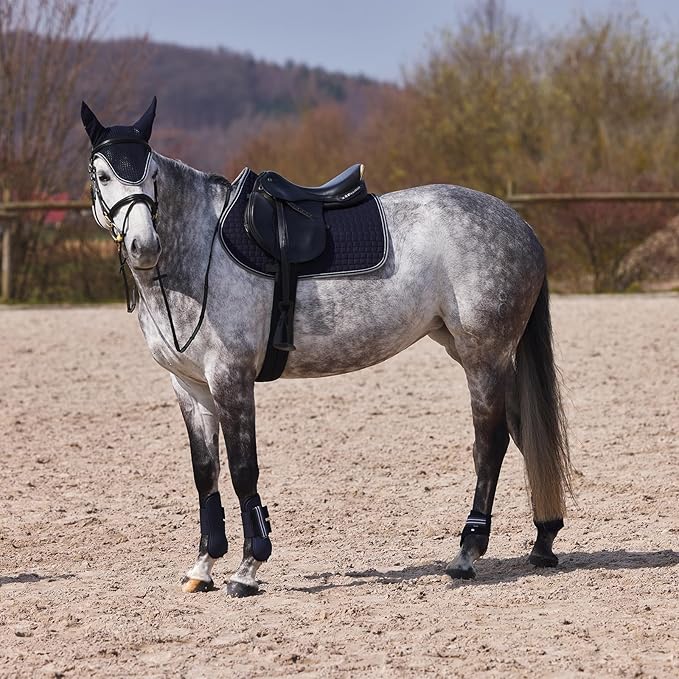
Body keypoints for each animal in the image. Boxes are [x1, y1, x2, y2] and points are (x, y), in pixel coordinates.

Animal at [81, 98, 571, 597]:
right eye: (101, 174)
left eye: (150, 172)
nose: (143, 245)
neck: (202, 250)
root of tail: (519, 225)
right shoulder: (189, 386)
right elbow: (206, 474)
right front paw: (203, 566)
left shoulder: (231, 378)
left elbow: (242, 471)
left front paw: (247, 568)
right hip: (482, 354)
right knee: (523, 432)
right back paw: (543, 540)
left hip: (483, 358)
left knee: (491, 444)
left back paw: (467, 554)